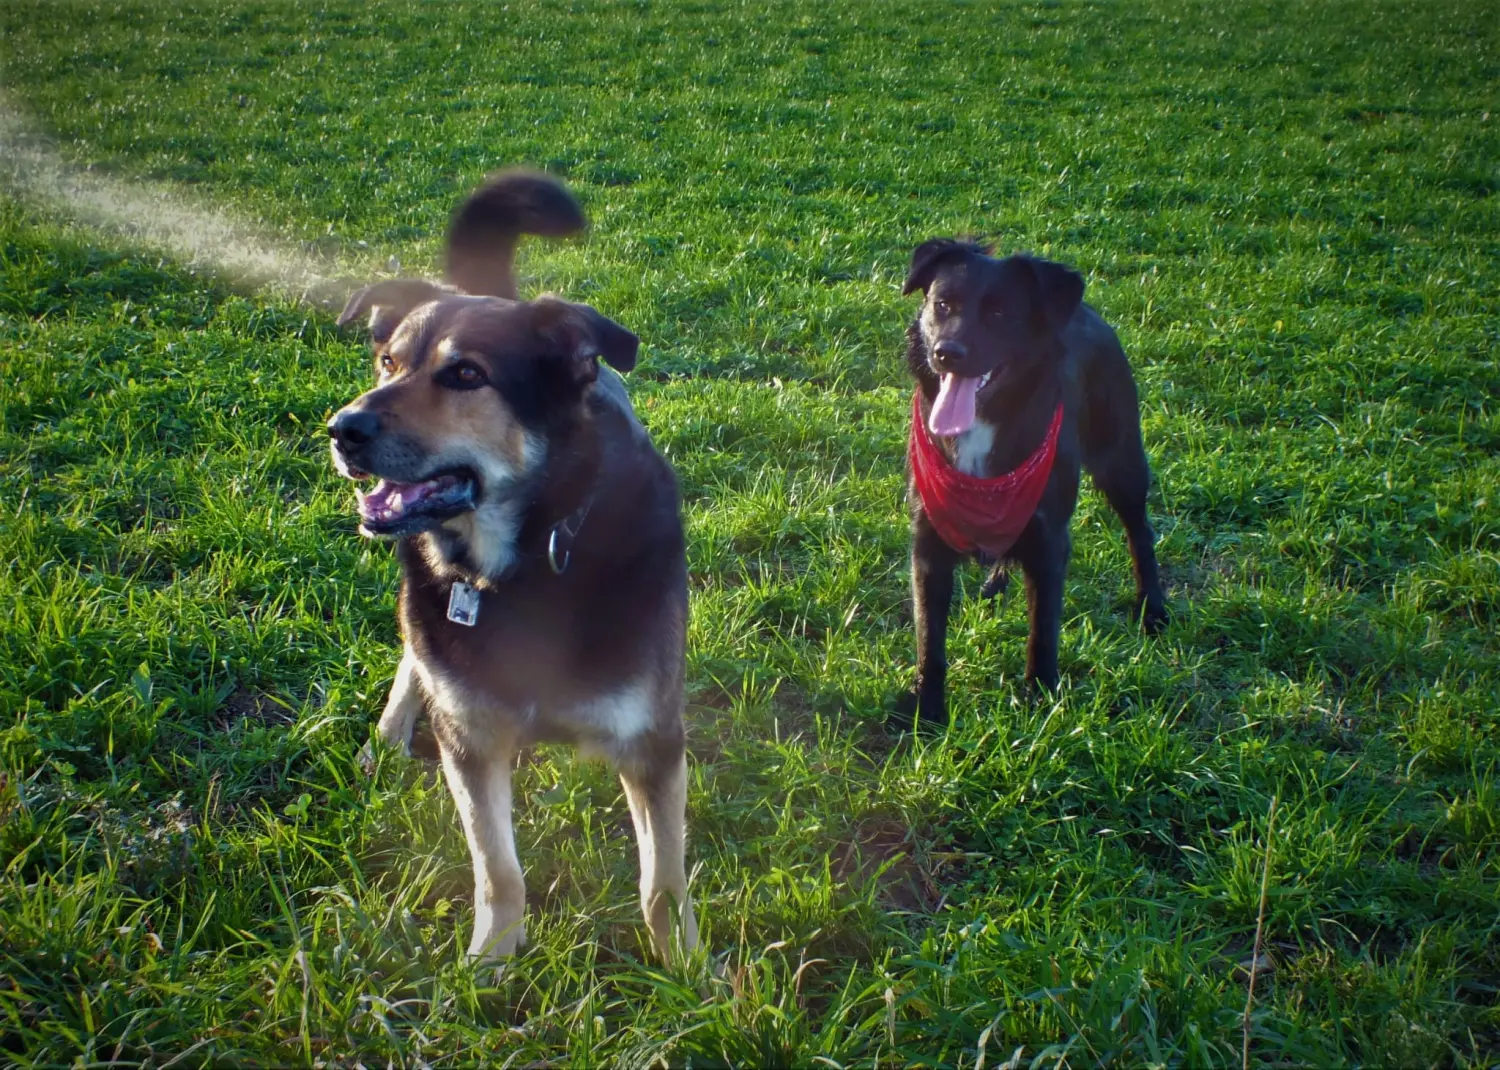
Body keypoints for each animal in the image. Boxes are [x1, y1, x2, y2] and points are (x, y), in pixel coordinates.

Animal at [328, 173, 696, 960]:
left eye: (467, 374)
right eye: (388, 362)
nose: (341, 428)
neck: (524, 561)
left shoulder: (653, 742)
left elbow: (662, 882)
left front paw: (690, 970)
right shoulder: (471, 741)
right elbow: (497, 869)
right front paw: (489, 963)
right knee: (412, 651)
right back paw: (388, 735)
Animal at [894, 238, 1164, 723]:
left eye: (1000, 313)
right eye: (942, 305)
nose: (947, 352)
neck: (984, 421)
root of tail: (1085, 308)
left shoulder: (1048, 541)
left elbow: (1043, 631)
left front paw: (1040, 699)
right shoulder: (928, 540)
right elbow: (930, 639)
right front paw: (928, 709)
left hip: (1122, 460)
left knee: (1140, 531)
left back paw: (1152, 607)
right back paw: (994, 585)